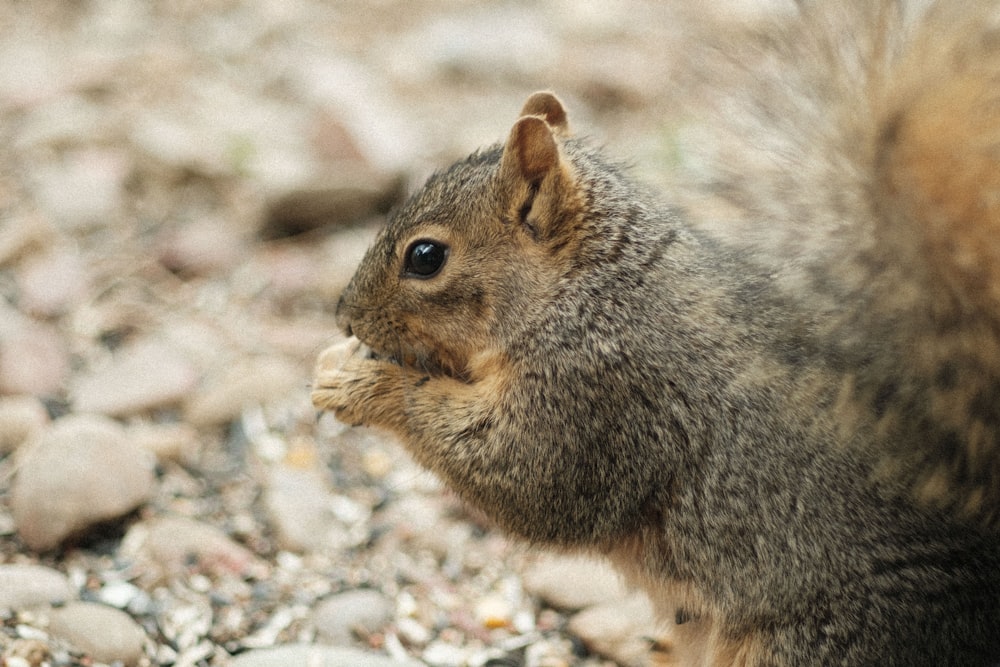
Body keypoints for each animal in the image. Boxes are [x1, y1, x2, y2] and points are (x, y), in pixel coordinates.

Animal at [312, 2, 1000, 664]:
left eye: (425, 257)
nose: (345, 317)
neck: (586, 289)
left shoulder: (601, 394)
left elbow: (527, 481)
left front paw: (361, 383)